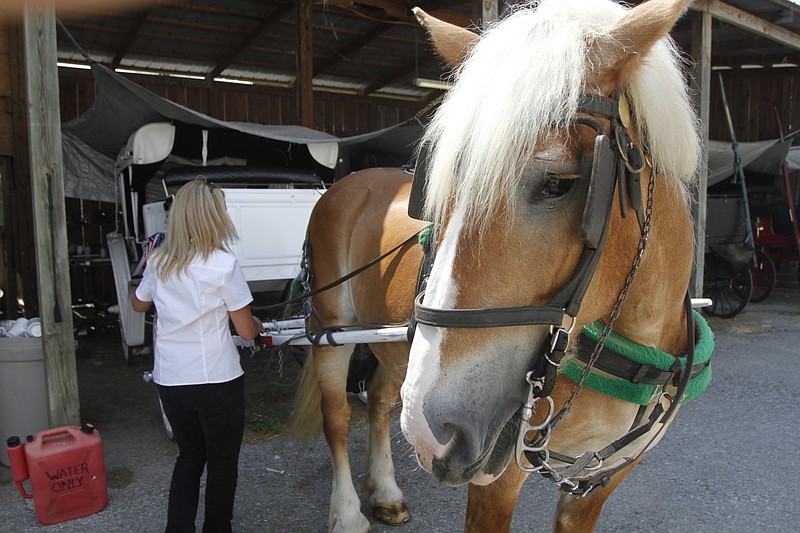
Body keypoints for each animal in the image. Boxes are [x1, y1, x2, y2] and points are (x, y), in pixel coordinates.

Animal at [290, 0, 712, 528]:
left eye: (558, 182)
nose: (435, 430)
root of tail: (349, 183)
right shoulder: (497, 482)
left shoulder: (599, 481)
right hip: (333, 328)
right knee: (339, 417)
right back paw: (348, 512)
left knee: (383, 400)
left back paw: (385, 489)